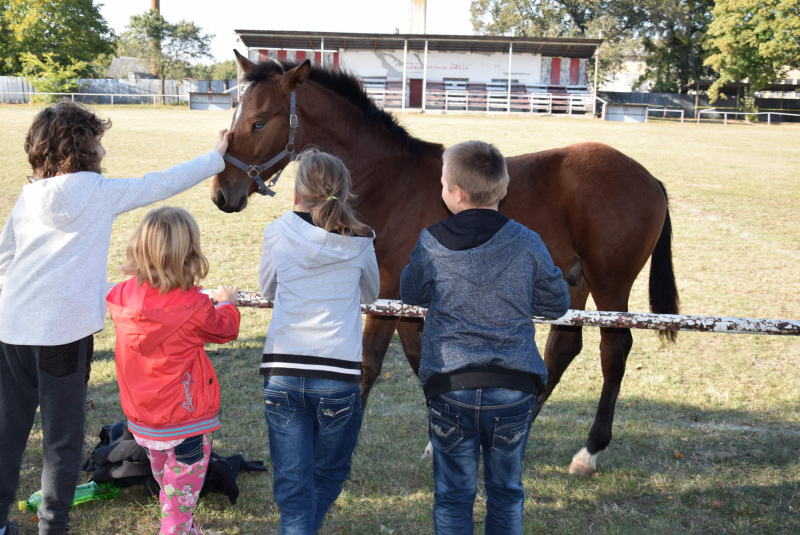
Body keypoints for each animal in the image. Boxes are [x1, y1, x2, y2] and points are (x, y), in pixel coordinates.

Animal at [212, 52, 676, 476]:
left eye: (259, 122)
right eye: (234, 115)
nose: (222, 193)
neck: (389, 181)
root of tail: (650, 178)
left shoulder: (387, 293)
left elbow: (369, 364)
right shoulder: (407, 300)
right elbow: (421, 359)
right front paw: (439, 443)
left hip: (610, 283)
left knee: (614, 350)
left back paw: (589, 451)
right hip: (573, 282)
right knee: (563, 348)